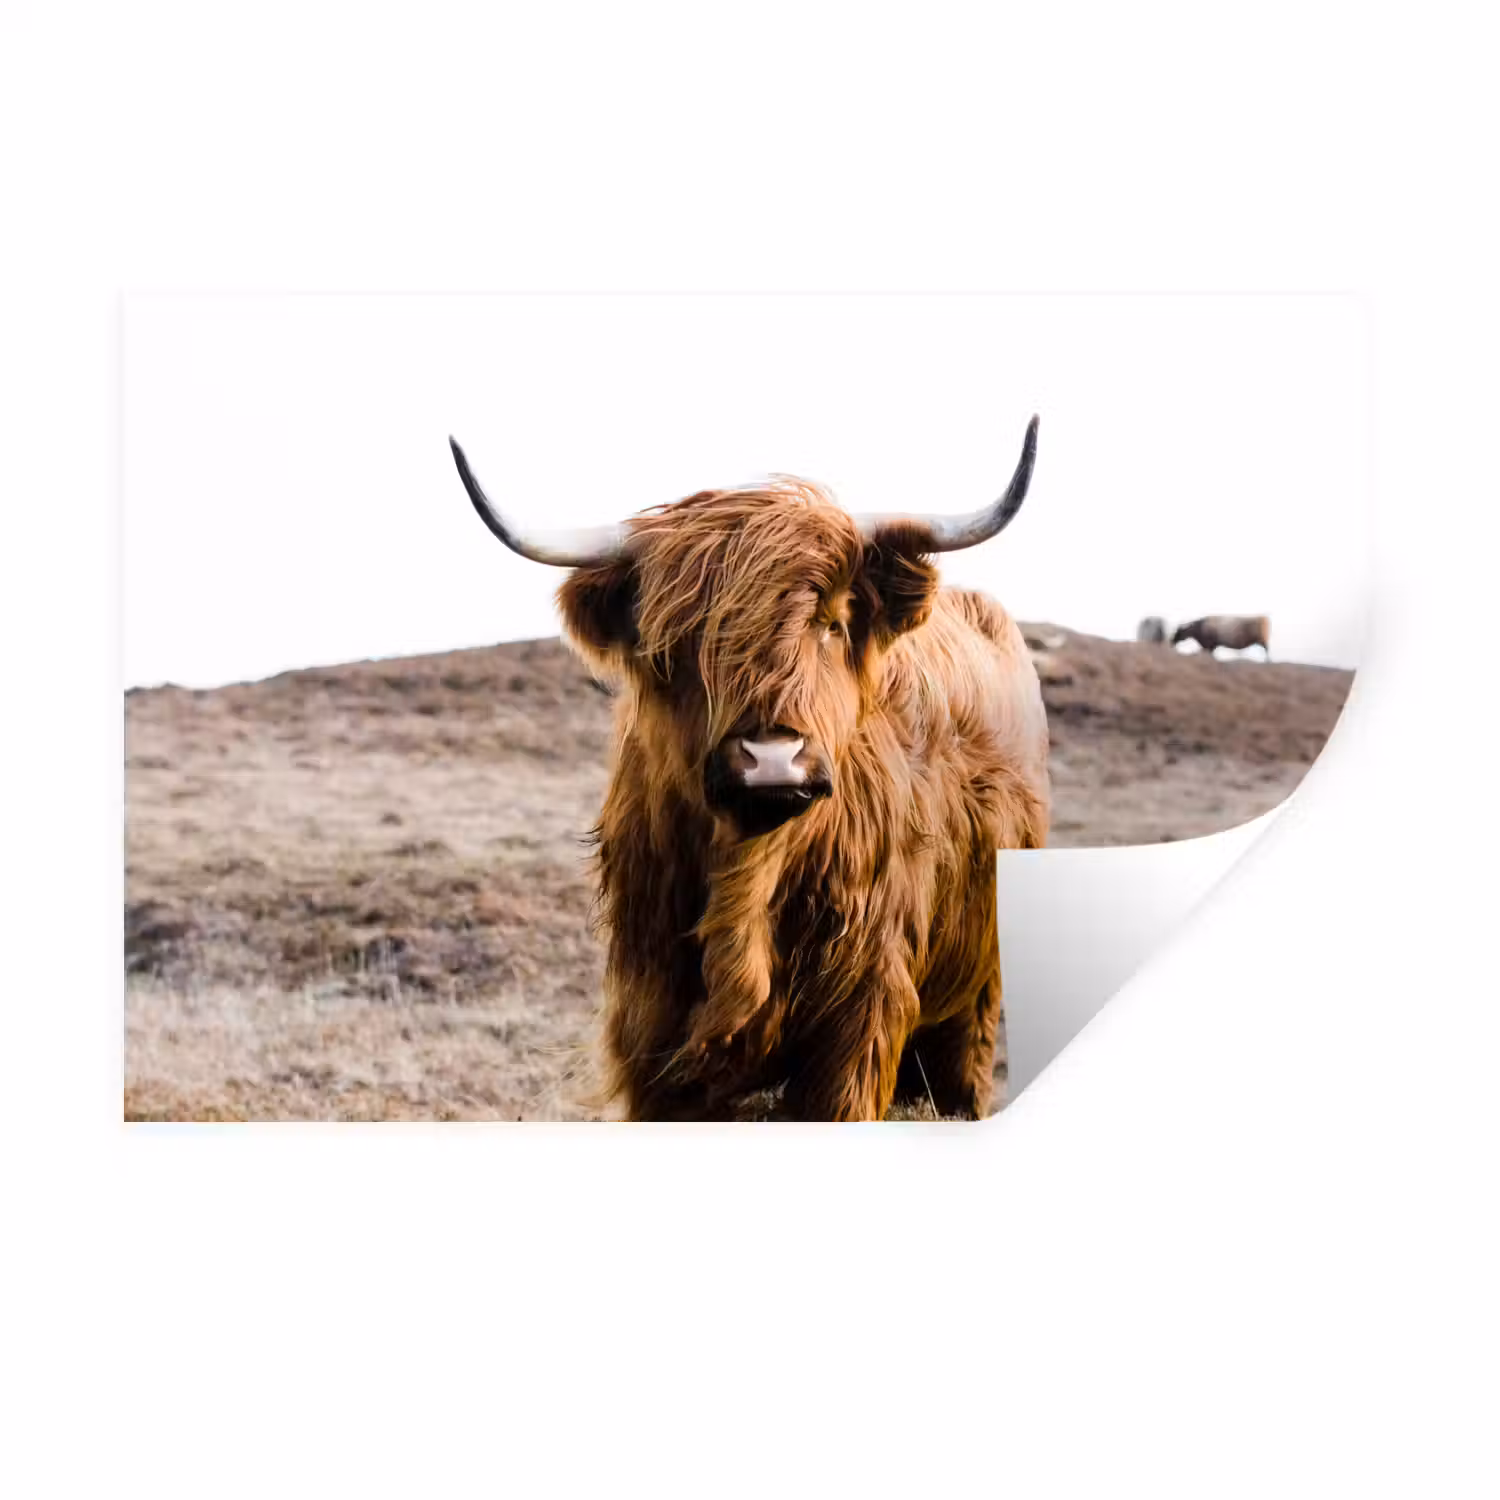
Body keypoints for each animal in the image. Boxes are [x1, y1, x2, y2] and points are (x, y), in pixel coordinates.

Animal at [448, 417, 1050, 1121]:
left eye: (832, 622)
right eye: (677, 641)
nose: (771, 760)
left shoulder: (858, 1026)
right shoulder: (653, 1027)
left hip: (976, 993)